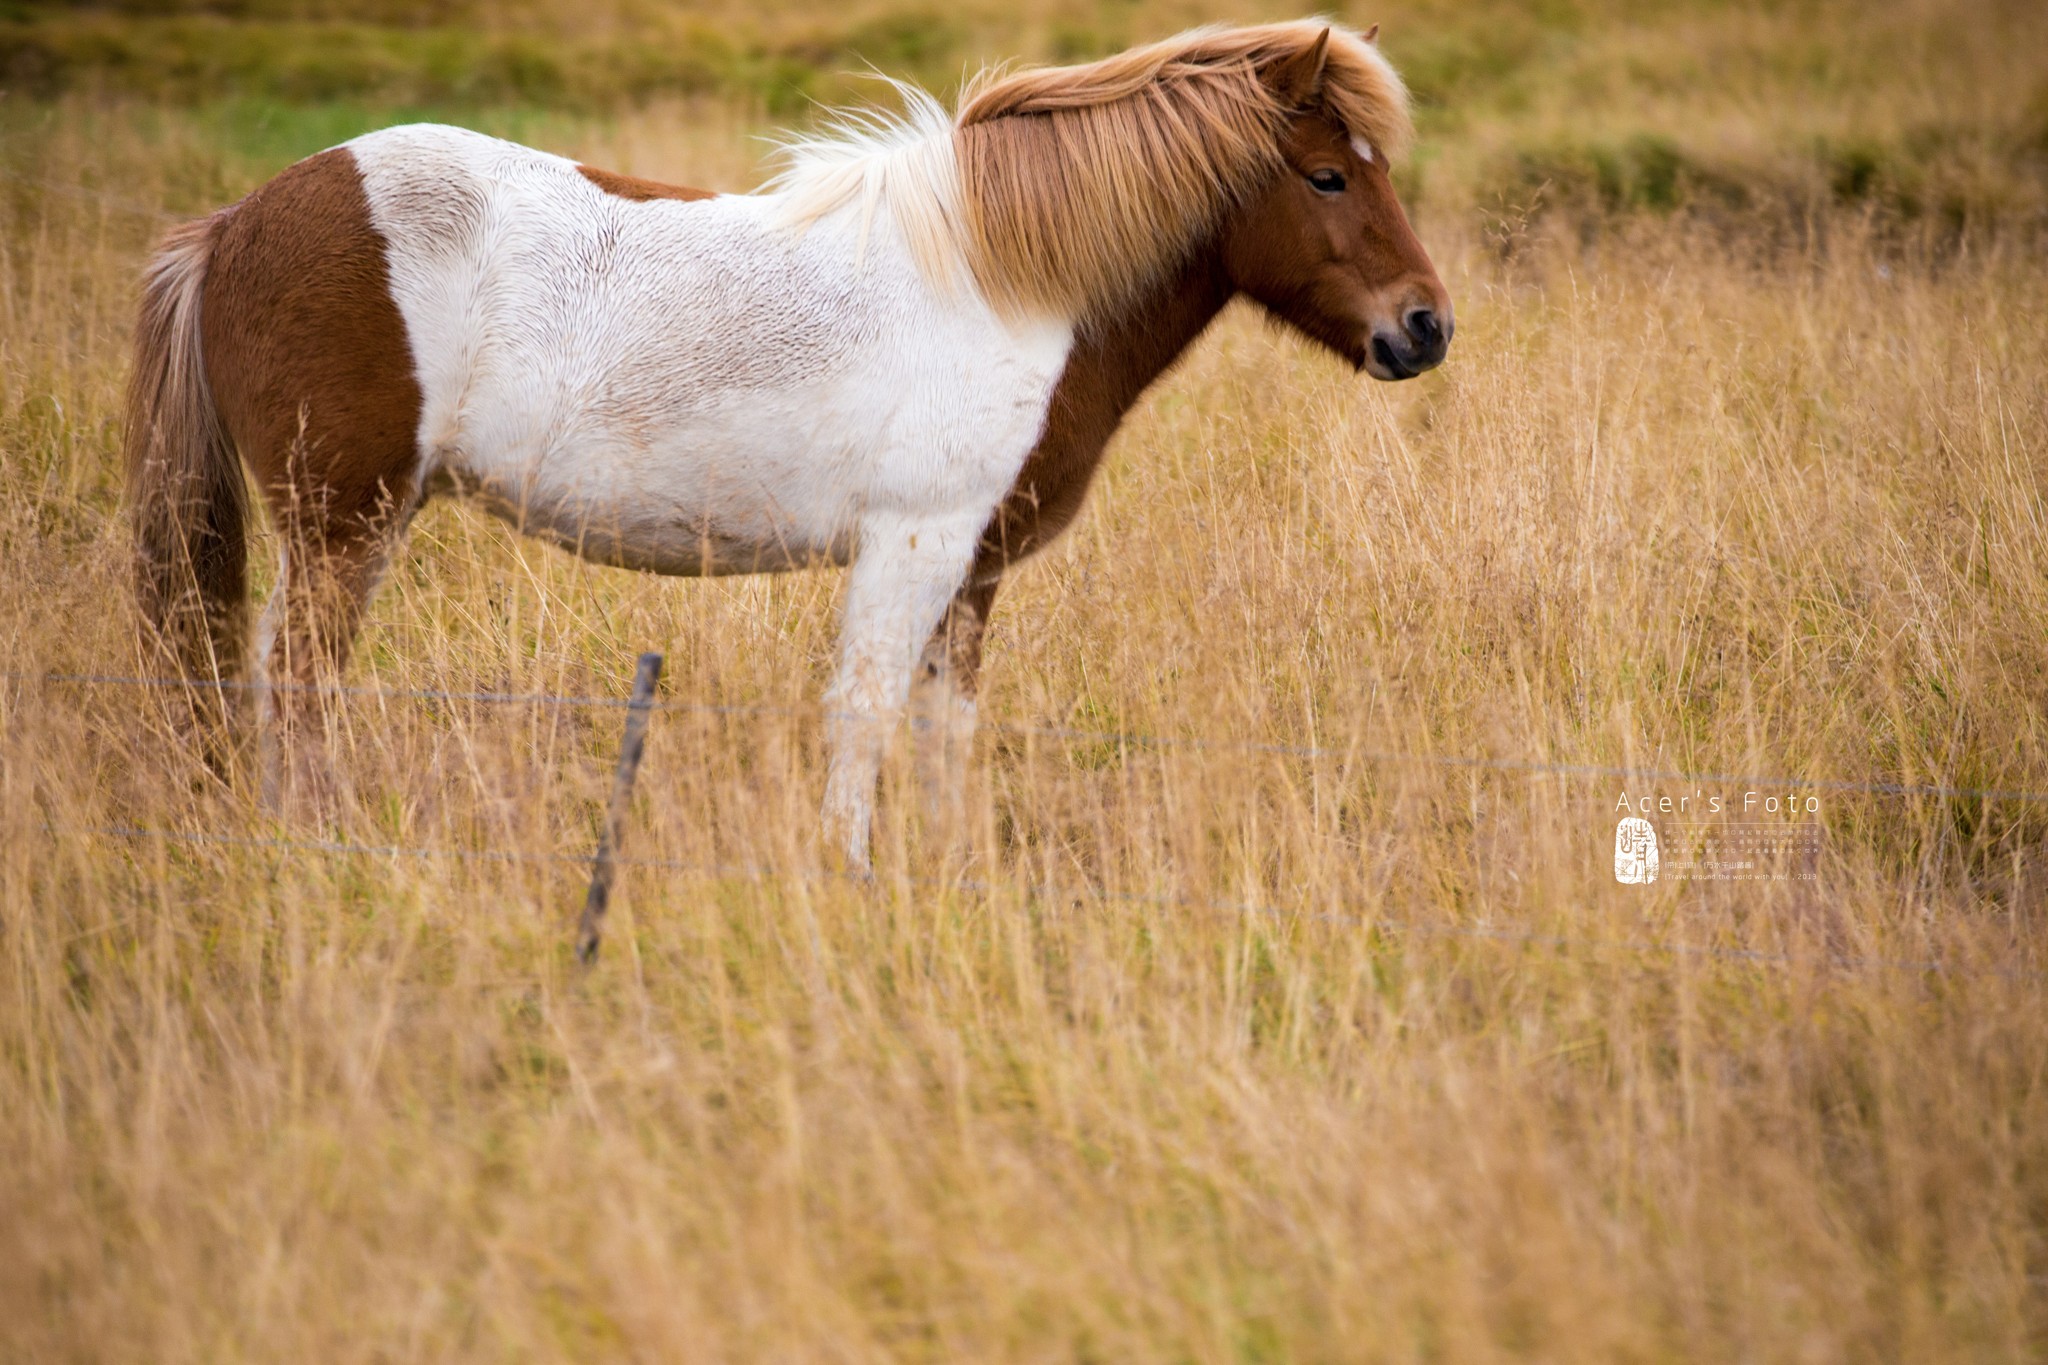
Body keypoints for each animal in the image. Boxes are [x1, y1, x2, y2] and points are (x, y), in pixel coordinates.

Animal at [123, 21, 1458, 871]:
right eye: (1327, 176)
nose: (1423, 327)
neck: (1005, 282)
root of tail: (233, 226)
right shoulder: (912, 546)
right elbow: (861, 711)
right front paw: (848, 871)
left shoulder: (968, 570)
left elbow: (942, 730)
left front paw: (948, 874)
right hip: (341, 522)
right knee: (293, 682)